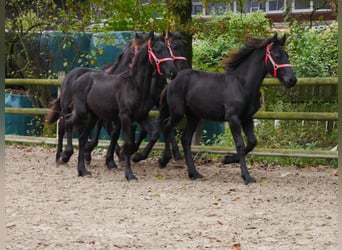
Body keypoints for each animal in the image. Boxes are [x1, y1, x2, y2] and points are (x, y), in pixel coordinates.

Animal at [63, 31, 176, 180]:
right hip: (82, 113)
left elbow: (149, 133)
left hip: (92, 116)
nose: (172, 72)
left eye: (168, 49)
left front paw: (132, 157)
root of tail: (78, 78)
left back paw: (82, 169)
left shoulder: (141, 116)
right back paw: (64, 156)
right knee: (66, 122)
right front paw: (129, 174)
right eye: (157, 50)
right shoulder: (124, 117)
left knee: (82, 137)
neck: (134, 85)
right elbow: (126, 143)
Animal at [159, 33, 296, 184]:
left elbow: (252, 142)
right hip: (178, 112)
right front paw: (246, 176)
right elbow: (240, 144)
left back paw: (194, 173)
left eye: (287, 55)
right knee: (166, 126)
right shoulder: (233, 118)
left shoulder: (247, 118)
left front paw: (228, 159)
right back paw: (164, 160)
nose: (292, 80)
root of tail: (171, 83)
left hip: (194, 116)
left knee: (185, 139)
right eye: (277, 55)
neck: (242, 84)